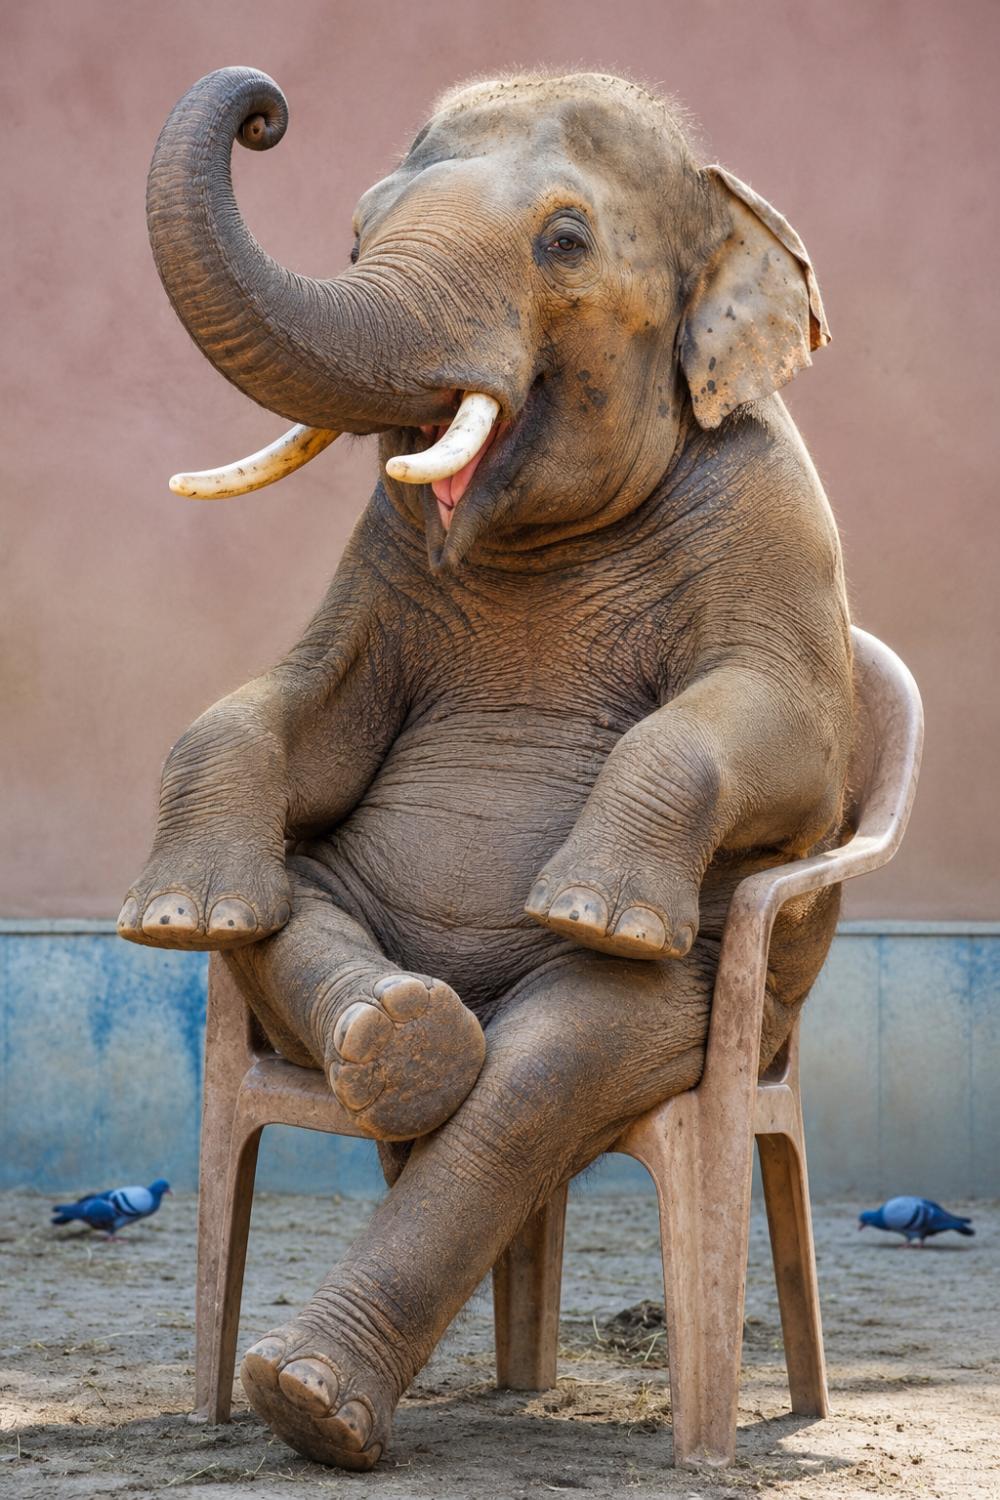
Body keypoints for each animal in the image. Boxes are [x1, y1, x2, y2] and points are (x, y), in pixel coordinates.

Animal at [121, 66, 853, 1470]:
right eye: (354, 233)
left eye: (563, 241)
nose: (262, 112)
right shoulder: (379, 555)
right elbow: (306, 712)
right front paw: (173, 916)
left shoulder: (775, 514)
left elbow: (793, 733)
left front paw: (590, 907)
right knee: (307, 907)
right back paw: (399, 1041)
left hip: (710, 1003)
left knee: (551, 1064)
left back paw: (312, 1399)